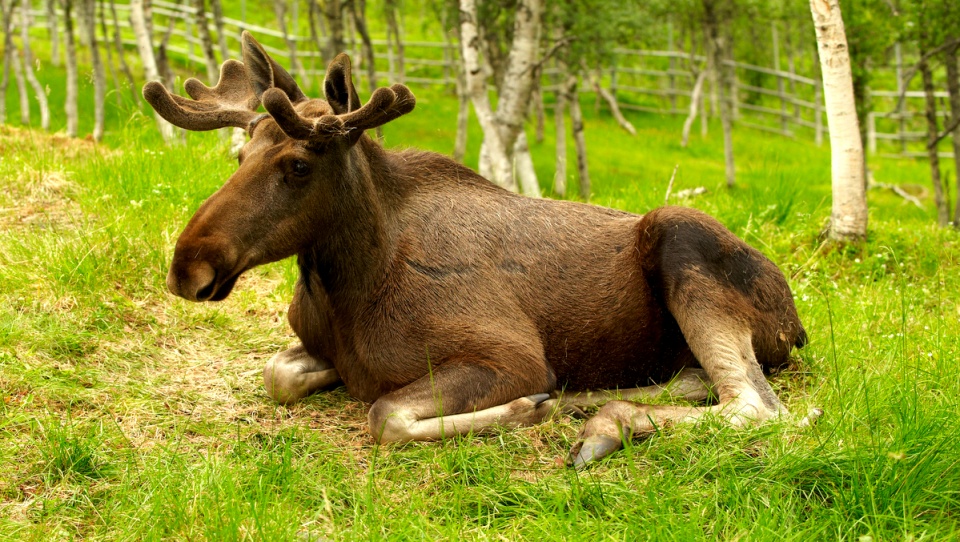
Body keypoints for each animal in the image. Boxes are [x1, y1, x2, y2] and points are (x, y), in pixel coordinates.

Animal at [142, 31, 812, 470]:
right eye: (239, 154)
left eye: (299, 164)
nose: (187, 266)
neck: (349, 282)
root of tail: (798, 323)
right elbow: (278, 373)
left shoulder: (509, 356)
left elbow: (384, 415)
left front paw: (526, 409)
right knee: (699, 380)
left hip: (681, 235)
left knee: (758, 407)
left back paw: (597, 421)